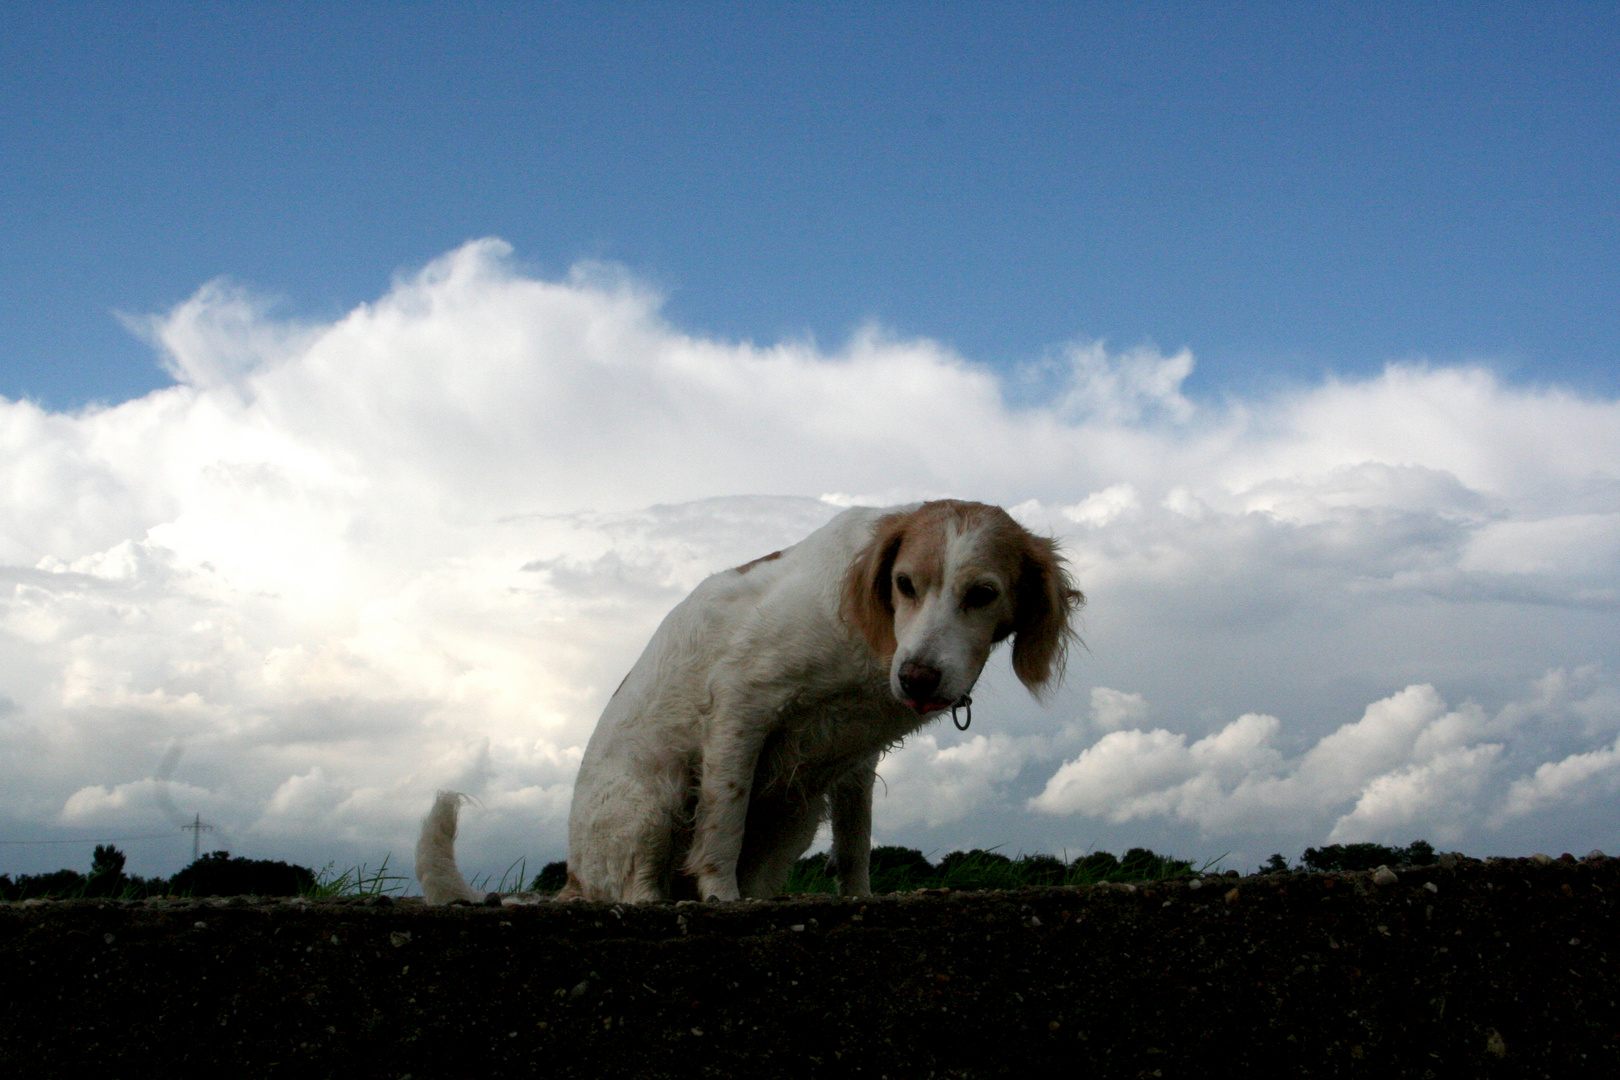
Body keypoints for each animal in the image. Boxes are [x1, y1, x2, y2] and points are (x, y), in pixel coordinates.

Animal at [417, 501, 1082, 906]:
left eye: (983, 594)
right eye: (905, 584)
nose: (917, 679)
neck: (873, 631)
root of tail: (574, 880)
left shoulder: (856, 761)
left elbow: (855, 845)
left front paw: (859, 898)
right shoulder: (743, 702)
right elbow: (723, 821)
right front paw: (719, 897)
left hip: (795, 811)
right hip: (655, 794)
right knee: (640, 888)